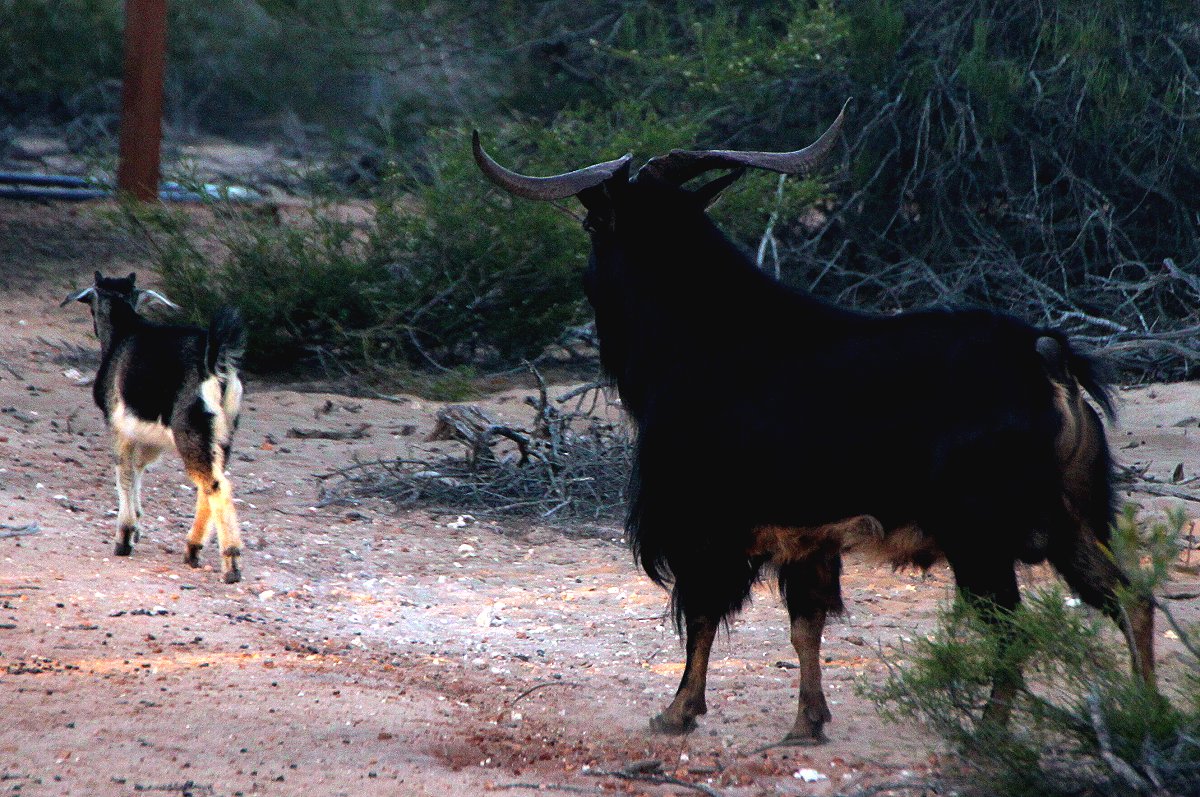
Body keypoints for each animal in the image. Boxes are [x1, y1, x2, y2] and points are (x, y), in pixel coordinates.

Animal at [62, 272, 247, 583]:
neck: (124, 331)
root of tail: (214, 362)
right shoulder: (149, 439)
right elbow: (138, 470)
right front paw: (135, 527)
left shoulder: (119, 426)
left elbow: (124, 474)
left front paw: (124, 538)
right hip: (221, 435)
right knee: (209, 484)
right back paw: (192, 550)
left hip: (191, 431)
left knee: (216, 486)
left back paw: (231, 564)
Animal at [473, 111, 1155, 745]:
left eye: (593, 225)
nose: (586, 280)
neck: (704, 336)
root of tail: (1047, 358)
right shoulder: (807, 538)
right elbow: (806, 626)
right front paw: (807, 723)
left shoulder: (706, 525)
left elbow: (701, 617)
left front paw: (676, 713)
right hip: (1074, 520)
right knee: (1131, 600)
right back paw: (1144, 716)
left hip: (980, 535)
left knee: (1016, 628)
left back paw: (989, 731)